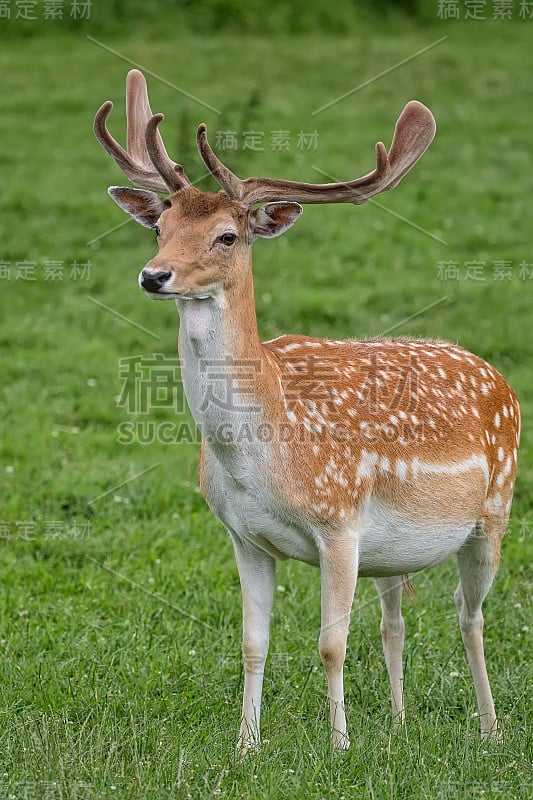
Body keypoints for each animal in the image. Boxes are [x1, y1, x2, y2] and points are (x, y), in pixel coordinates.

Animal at [92, 69, 520, 752]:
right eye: (160, 229)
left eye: (227, 235)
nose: (154, 275)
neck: (263, 456)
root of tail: (498, 377)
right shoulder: (243, 535)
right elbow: (252, 642)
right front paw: (246, 744)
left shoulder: (338, 522)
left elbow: (329, 644)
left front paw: (339, 746)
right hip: (391, 550)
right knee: (396, 616)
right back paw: (398, 723)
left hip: (493, 512)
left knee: (470, 614)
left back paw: (490, 730)